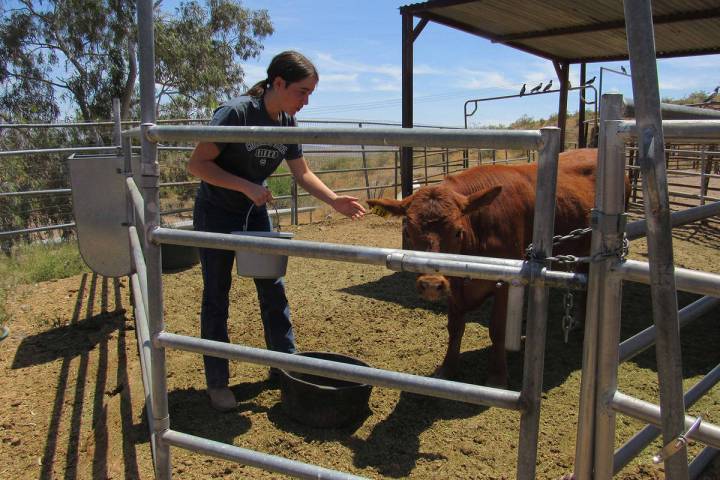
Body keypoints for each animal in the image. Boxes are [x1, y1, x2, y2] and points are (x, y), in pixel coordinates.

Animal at [366, 147, 600, 386]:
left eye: (458, 232)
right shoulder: (453, 285)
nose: (431, 284)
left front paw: (497, 377)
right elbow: (455, 327)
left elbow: (497, 329)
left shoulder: (506, 282)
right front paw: (448, 369)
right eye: (407, 232)